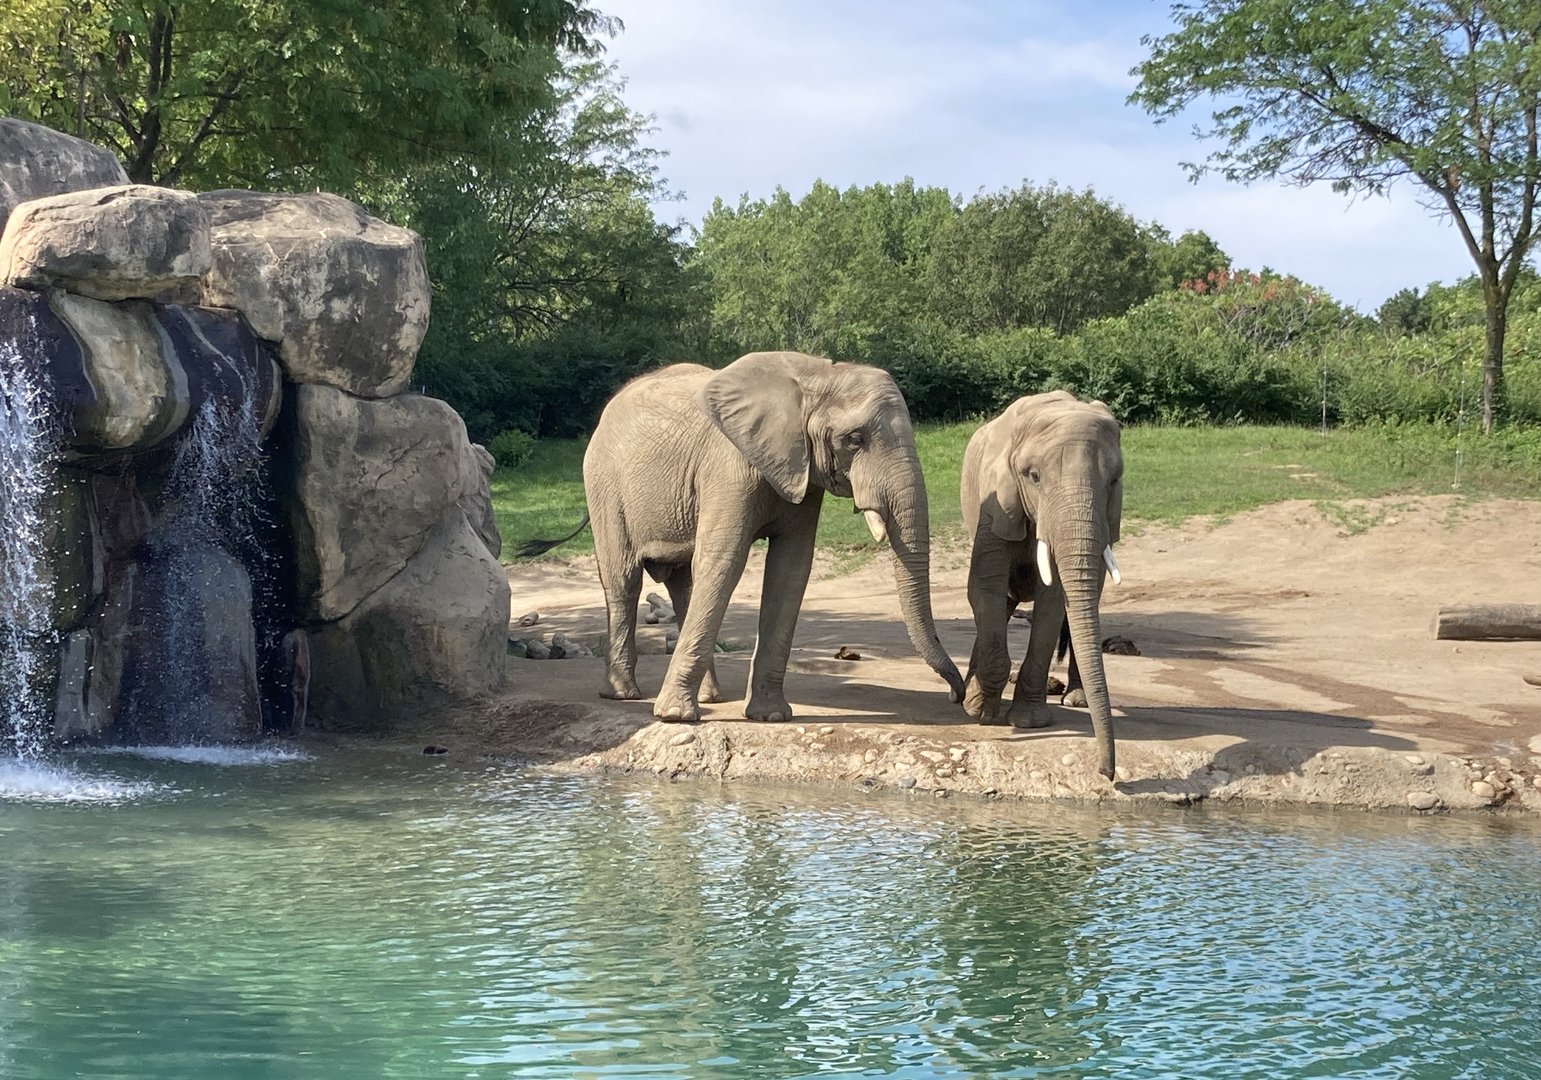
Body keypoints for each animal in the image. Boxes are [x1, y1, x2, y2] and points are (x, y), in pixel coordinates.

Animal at [528, 351, 965, 723]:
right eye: (855, 440)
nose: (955, 696)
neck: (817, 375)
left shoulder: (802, 475)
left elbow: (791, 569)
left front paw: (770, 717)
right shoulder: (729, 466)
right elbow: (725, 560)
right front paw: (675, 718)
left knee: (684, 584)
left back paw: (710, 697)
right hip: (604, 485)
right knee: (624, 580)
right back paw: (625, 695)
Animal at [958, 390, 1123, 779]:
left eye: (1114, 480)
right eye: (1033, 476)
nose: (1105, 773)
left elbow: (1054, 602)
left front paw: (1028, 722)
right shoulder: (995, 504)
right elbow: (984, 588)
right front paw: (978, 709)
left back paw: (1077, 699)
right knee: (1001, 604)